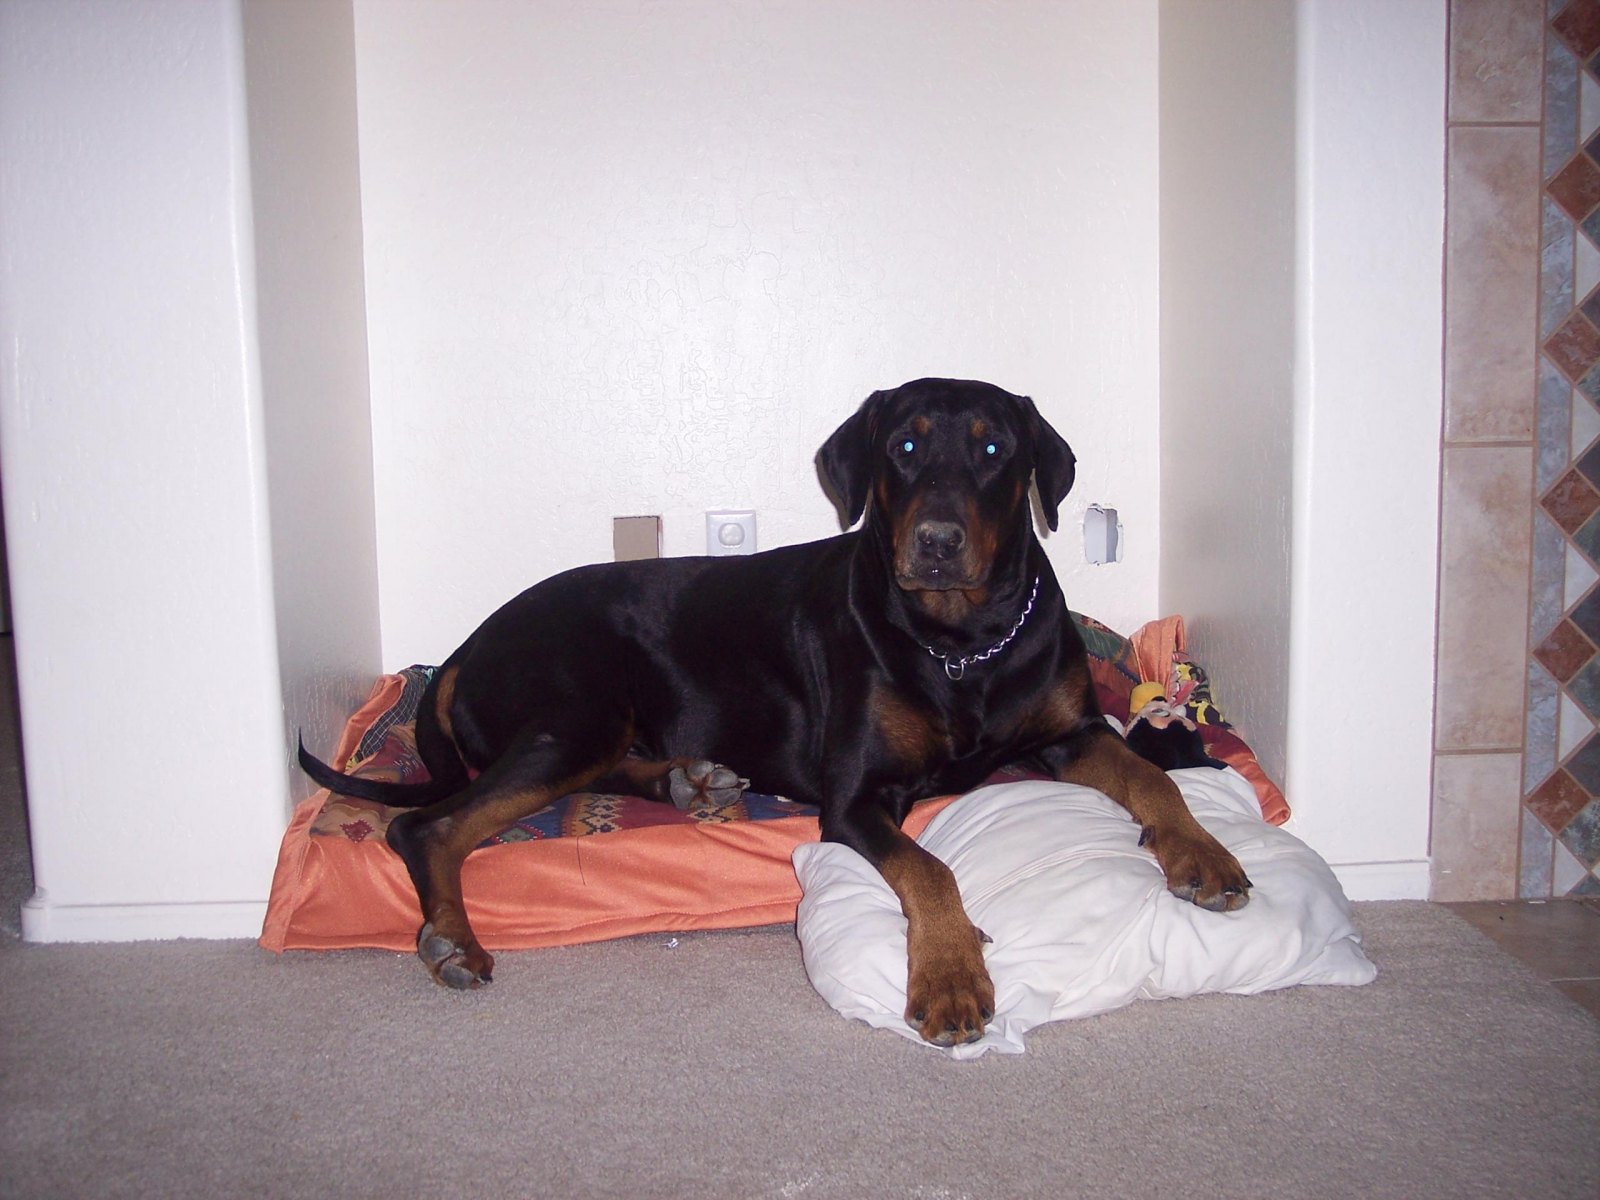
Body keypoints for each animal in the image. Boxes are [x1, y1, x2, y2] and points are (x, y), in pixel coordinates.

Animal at [299, 377, 1251, 1046]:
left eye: (992, 447)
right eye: (904, 444)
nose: (937, 543)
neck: (960, 642)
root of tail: (466, 645)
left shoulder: (1069, 733)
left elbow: (1154, 781)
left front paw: (1205, 857)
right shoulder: (858, 796)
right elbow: (929, 870)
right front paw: (950, 978)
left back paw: (690, 781)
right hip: (575, 709)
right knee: (427, 825)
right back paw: (455, 940)